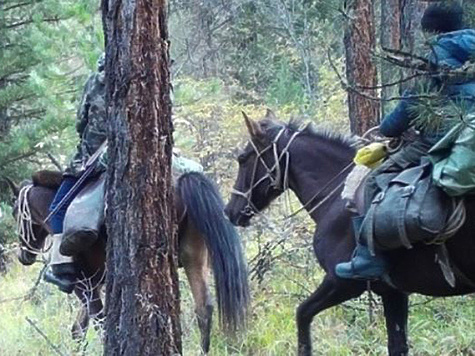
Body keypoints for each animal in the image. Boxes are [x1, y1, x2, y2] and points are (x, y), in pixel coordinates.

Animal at [12, 170, 249, 354]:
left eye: (15, 213)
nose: (24, 257)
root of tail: (182, 180)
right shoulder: (93, 285)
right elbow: (78, 330)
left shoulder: (83, 285)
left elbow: (99, 324)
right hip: (194, 257)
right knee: (204, 308)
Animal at [225, 110, 475, 354]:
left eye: (242, 158)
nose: (230, 211)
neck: (337, 197)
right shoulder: (393, 293)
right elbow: (397, 345)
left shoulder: (342, 283)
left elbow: (302, 315)